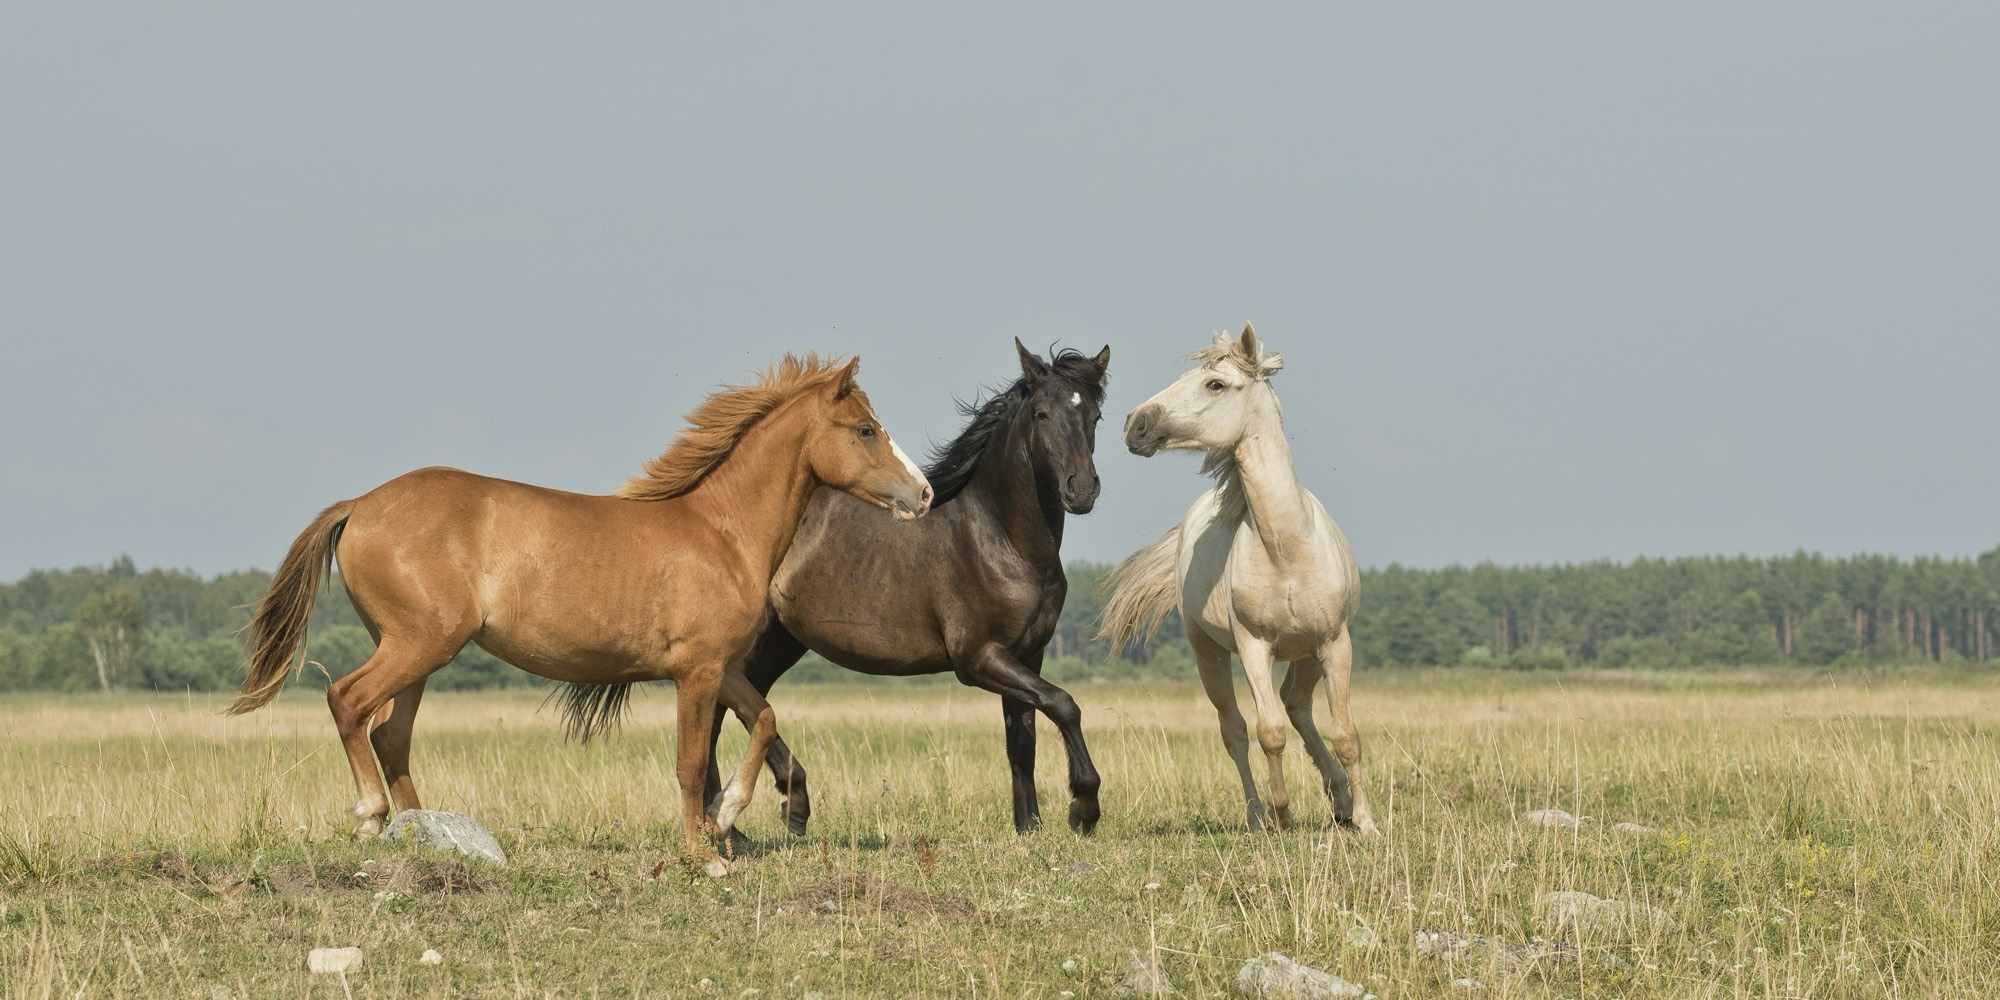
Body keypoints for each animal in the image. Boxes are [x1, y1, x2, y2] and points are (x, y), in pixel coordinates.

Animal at [228, 355, 933, 873]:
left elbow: (763, 719)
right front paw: (702, 855)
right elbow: (688, 761)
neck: (721, 532)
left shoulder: (723, 667)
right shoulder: (696, 672)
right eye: (865, 429)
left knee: (389, 734)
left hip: (417, 653)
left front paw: (726, 815)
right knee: (348, 701)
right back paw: (373, 817)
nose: (923, 494)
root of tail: (360, 504)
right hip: (417, 645)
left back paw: (425, 833)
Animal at [704, 341, 1110, 835]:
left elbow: (1022, 742)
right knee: (718, 712)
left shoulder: (1027, 654)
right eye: (1041, 413)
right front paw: (1083, 808)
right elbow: (1063, 703)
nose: (1082, 489)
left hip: (782, 641)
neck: (1000, 539)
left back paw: (773, 811)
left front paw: (1028, 827)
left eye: (1095, 416)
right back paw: (737, 820)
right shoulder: (978, 658)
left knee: (744, 706)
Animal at [1101, 326, 1378, 834]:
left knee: (1297, 706)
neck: (1287, 549)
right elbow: (1268, 733)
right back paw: (1257, 815)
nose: (1135, 424)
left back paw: (1340, 800)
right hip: (1207, 652)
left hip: (1308, 653)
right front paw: (1282, 815)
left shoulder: (1335, 643)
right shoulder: (1253, 647)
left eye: (1215, 384)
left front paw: (1366, 823)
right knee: (1236, 730)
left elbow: (1347, 734)